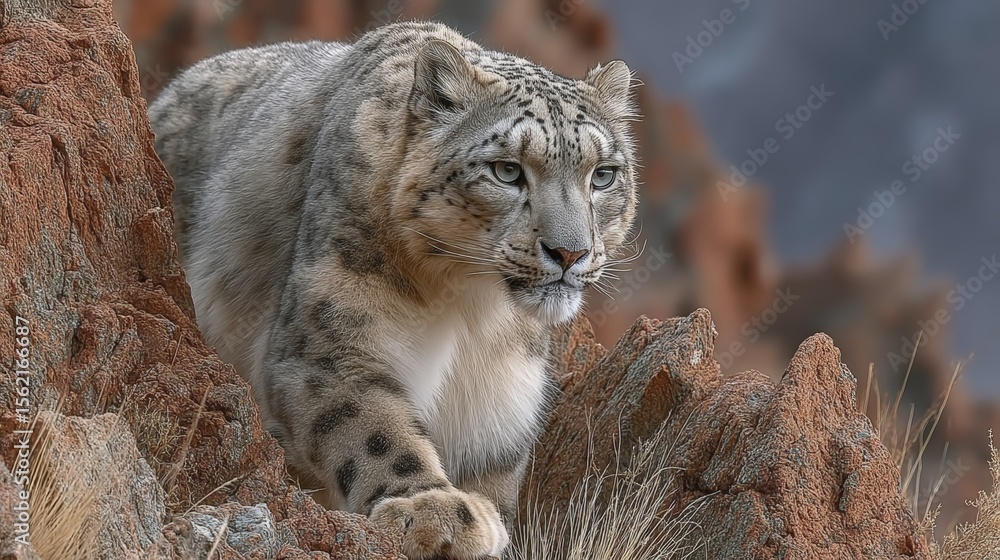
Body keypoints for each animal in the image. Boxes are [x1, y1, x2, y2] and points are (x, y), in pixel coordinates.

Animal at [148, 21, 637, 559]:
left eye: (603, 175)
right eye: (507, 170)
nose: (570, 253)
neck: (475, 308)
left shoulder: (502, 399)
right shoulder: (329, 345)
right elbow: (371, 427)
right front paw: (436, 511)